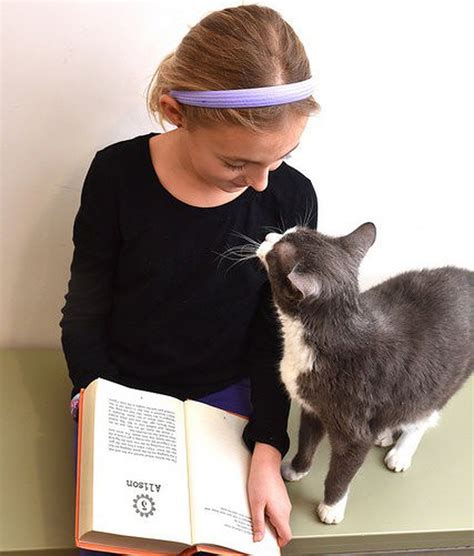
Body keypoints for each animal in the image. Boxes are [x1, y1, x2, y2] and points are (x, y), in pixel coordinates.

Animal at [258, 223, 472, 524]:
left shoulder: (353, 431)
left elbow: (342, 470)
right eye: (290, 230)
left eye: (277, 250)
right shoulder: (312, 407)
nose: (268, 236)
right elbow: (306, 440)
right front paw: (296, 469)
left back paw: (400, 452)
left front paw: (331, 508)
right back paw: (386, 433)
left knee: (423, 415)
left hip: (446, 377)